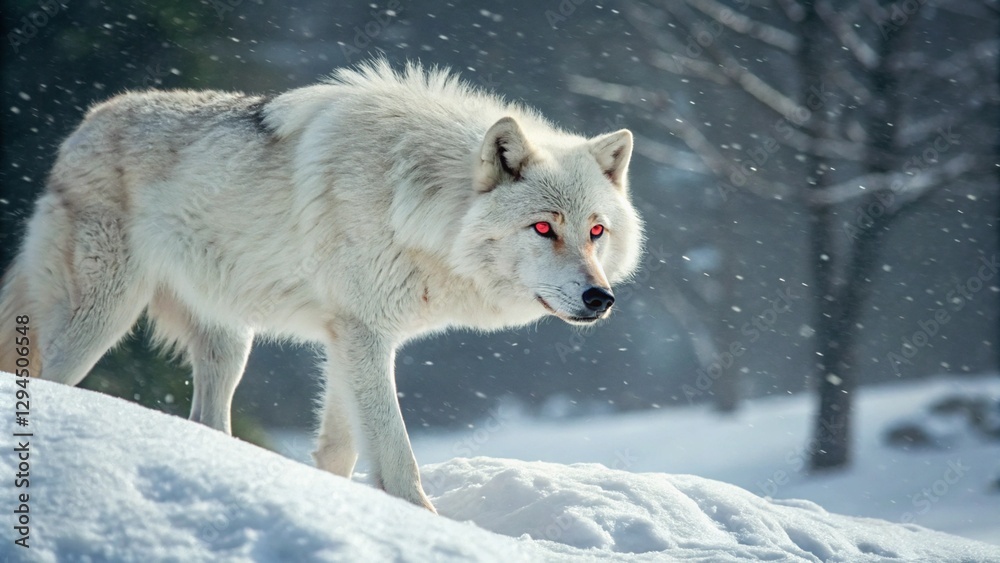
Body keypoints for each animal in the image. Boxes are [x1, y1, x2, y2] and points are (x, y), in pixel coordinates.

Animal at [0, 61, 643, 511]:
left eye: (596, 231)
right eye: (543, 228)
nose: (600, 298)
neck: (413, 204)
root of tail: (84, 123)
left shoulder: (350, 340)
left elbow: (341, 451)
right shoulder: (363, 336)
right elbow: (396, 456)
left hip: (230, 344)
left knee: (207, 420)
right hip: (102, 319)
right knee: (49, 379)